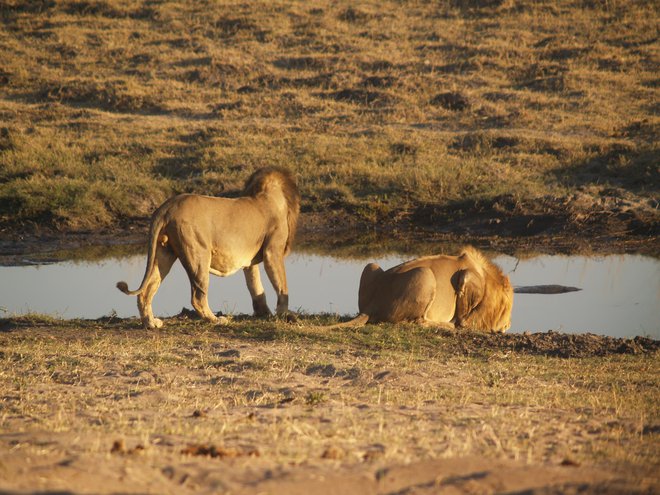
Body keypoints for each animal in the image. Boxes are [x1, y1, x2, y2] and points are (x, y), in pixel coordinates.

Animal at [117, 167, 300, 330]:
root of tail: (168, 206)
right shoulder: (272, 251)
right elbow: (282, 285)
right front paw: (285, 315)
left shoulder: (250, 261)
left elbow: (255, 285)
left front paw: (264, 313)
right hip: (199, 254)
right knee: (197, 297)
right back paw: (217, 320)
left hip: (164, 252)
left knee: (145, 292)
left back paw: (151, 323)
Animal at [340, 247, 516, 334]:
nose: (509, 324)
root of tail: (372, 305)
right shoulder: (466, 278)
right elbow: (463, 319)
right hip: (426, 274)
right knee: (417, 322)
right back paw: (446, 325)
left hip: (371, 265)